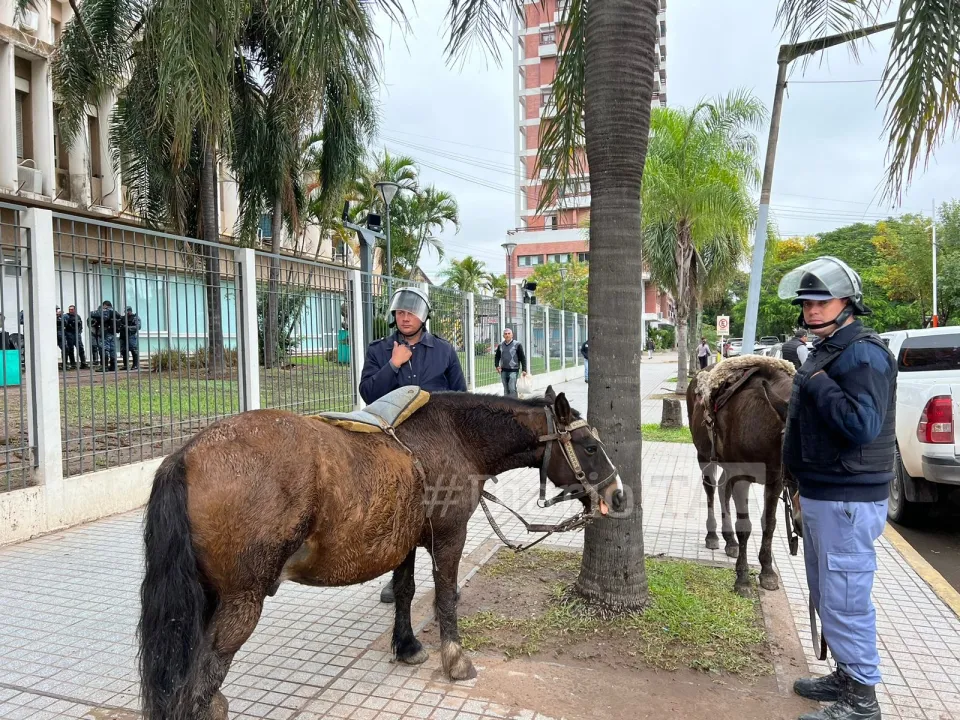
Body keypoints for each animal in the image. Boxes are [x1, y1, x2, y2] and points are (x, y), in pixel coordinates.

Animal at [138, 386, 624, 720]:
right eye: (591, 446)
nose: (617, 496)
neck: (453, 435)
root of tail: (185, 456)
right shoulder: (450, 537)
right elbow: (445, 597)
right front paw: (455, 659)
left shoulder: (403, 541)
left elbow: (406, 591)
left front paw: (406, 645)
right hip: (241, 601)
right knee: (203, 681)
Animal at [686, 356, 803, 597]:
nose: (801, 522)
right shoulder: (742, 477)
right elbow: (745, 526)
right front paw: (743, 579)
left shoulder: (775, 480)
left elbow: (769, 523)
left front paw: (767, 571)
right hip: (705, 457)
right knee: (711, 490)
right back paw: (713, 535)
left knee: (723, 490)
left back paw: (729, 540)